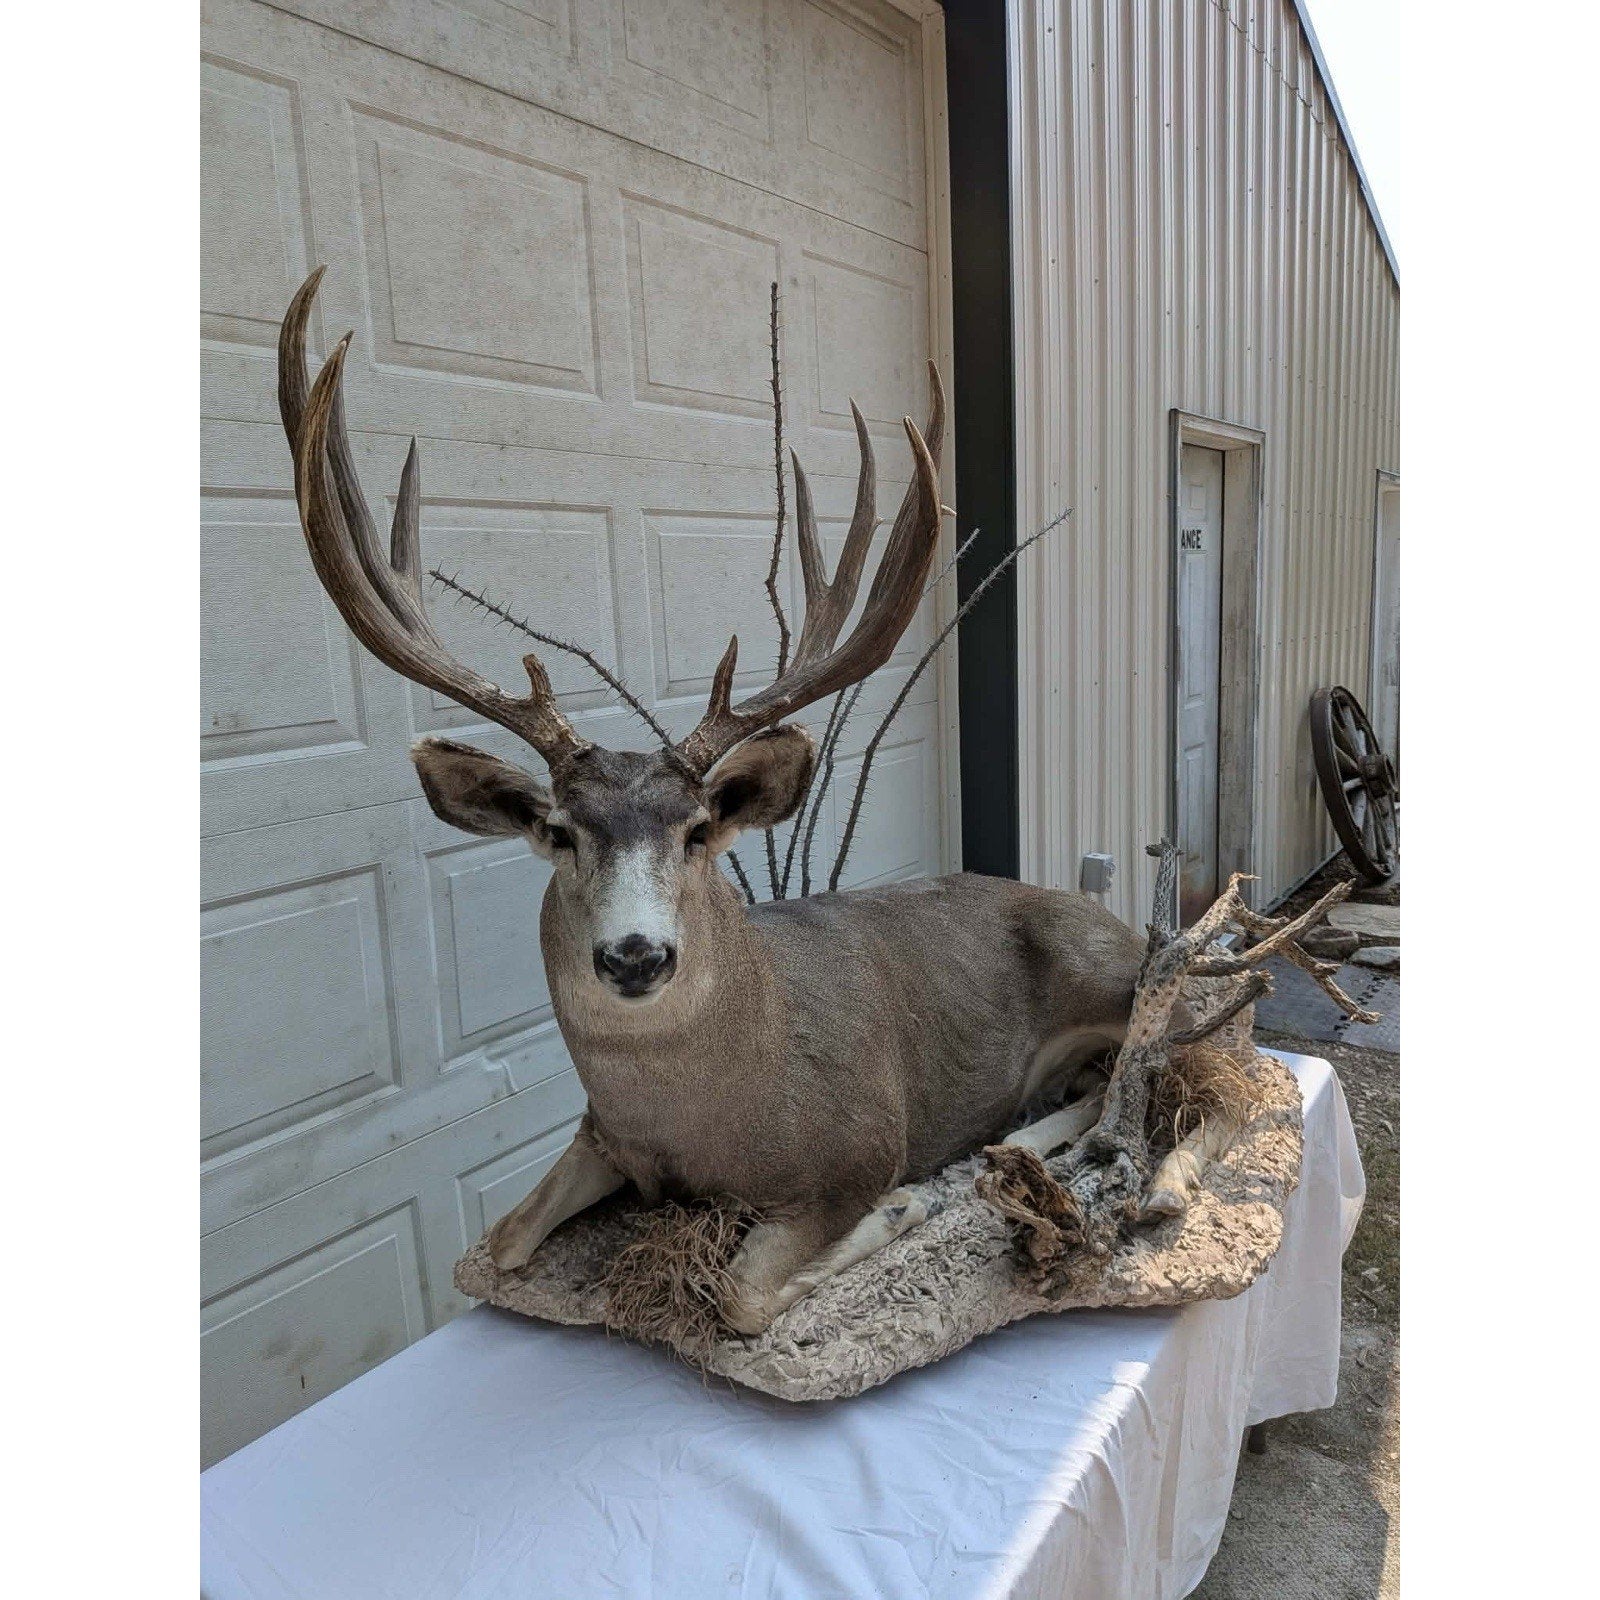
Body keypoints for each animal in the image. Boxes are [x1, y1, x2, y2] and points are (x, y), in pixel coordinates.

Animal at [277, 269, 1151, 1335]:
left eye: (697, 831)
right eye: (558, 832)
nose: (636, 954)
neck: (698, 1128)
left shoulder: (860, 1144)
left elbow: (739, 1292)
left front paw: (904, 1210)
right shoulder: (598, 1135)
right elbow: (497, 1247)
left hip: (1112, 974)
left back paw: (1025, 1133)